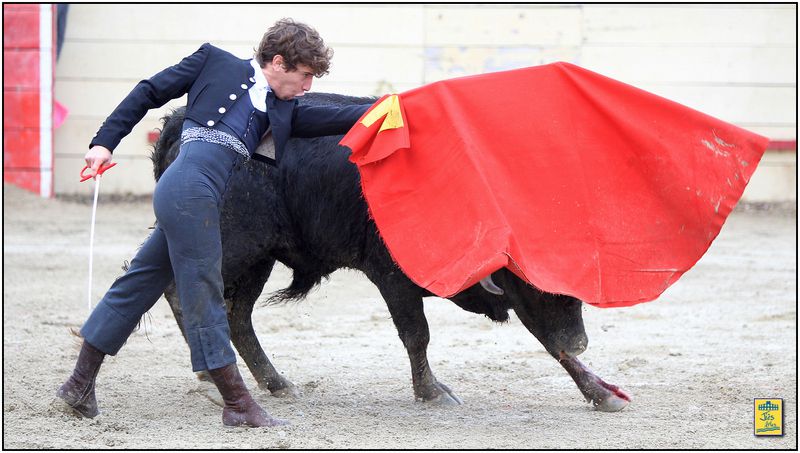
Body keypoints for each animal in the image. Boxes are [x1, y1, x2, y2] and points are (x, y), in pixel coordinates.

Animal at [152, 91, 632, 410]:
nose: (583, 341)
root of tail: (182, 122)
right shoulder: (392, 278)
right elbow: (417, 333)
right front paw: (433, 392)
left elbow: (550, 344)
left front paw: (601, 392)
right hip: (230, 244)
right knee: (184, 293)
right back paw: (212, 375)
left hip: (259, 258)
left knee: (237, 315)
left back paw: (274, 382)